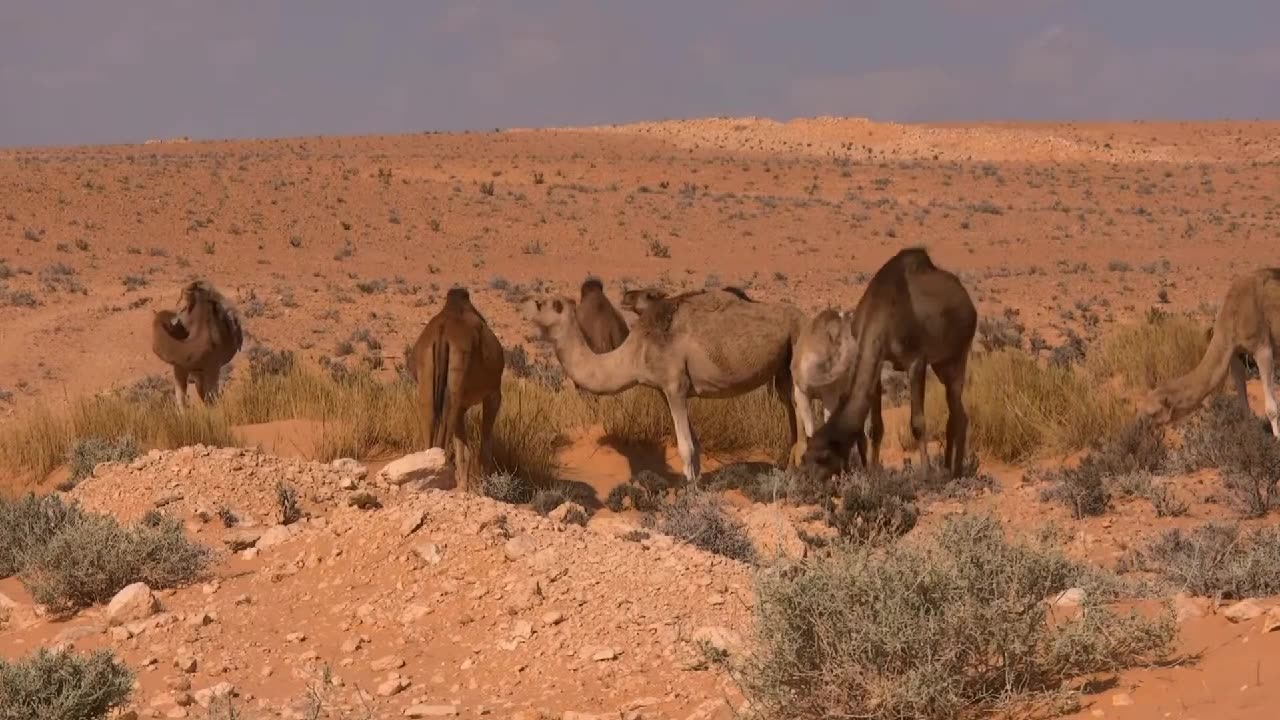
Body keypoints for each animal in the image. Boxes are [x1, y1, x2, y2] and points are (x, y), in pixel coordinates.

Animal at [412, 285, 506, 486]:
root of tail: (442, 333)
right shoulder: (493, 394)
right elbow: (483, 451)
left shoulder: (461, 405)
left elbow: (464, 454)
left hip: (428, 381)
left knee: (430, 430)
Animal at [519, 285, 798, 481]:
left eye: (540, 303)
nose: (522, 302)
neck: (634, 352)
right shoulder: (663, 390)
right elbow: (696, 446)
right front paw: (697, 487)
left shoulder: (675, 386)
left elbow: (686, 448)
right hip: (782, 372)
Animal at [798, 248, 977, 481]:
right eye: (804, 458)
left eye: (823, 458)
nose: (807, 478)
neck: (883, 310)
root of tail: (968, 304)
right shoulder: (878, 358)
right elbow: (875, 426)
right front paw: (873, 472)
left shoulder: (916, 361)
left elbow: (918, 423)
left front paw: (926, 474)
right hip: (942, 364)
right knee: (957, 413)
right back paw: (947, 469)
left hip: (959, 353)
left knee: (958, 411)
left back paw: (956, 473)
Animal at [1141, 267, 1280, 430]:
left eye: (1152, 413)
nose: (1142, 426)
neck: (1234, 314)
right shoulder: (1234, 353)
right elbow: (1243, 407)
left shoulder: (1263, 348)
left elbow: (1272, 409)